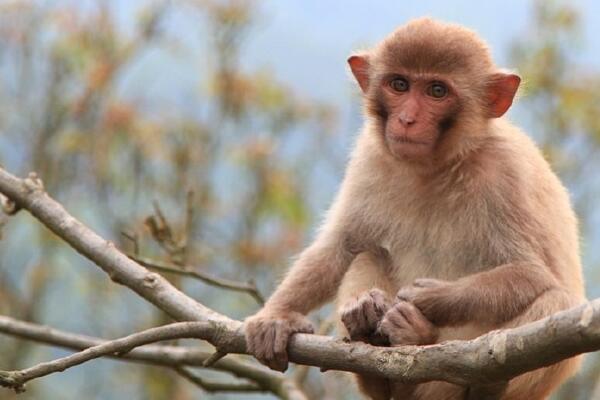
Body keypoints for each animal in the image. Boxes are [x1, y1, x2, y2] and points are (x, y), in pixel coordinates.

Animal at [241, 17, 584, 398]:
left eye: (437, 91)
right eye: (399, 85)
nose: (406, 119)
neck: (435, 167)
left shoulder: (505, 172)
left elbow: (534, 273)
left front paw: (430, 298)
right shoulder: (371, 157)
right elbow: (340, 246)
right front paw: (276, 315)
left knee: (558, 301)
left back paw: (436, 347)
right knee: (368, 253)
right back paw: (373, 345)